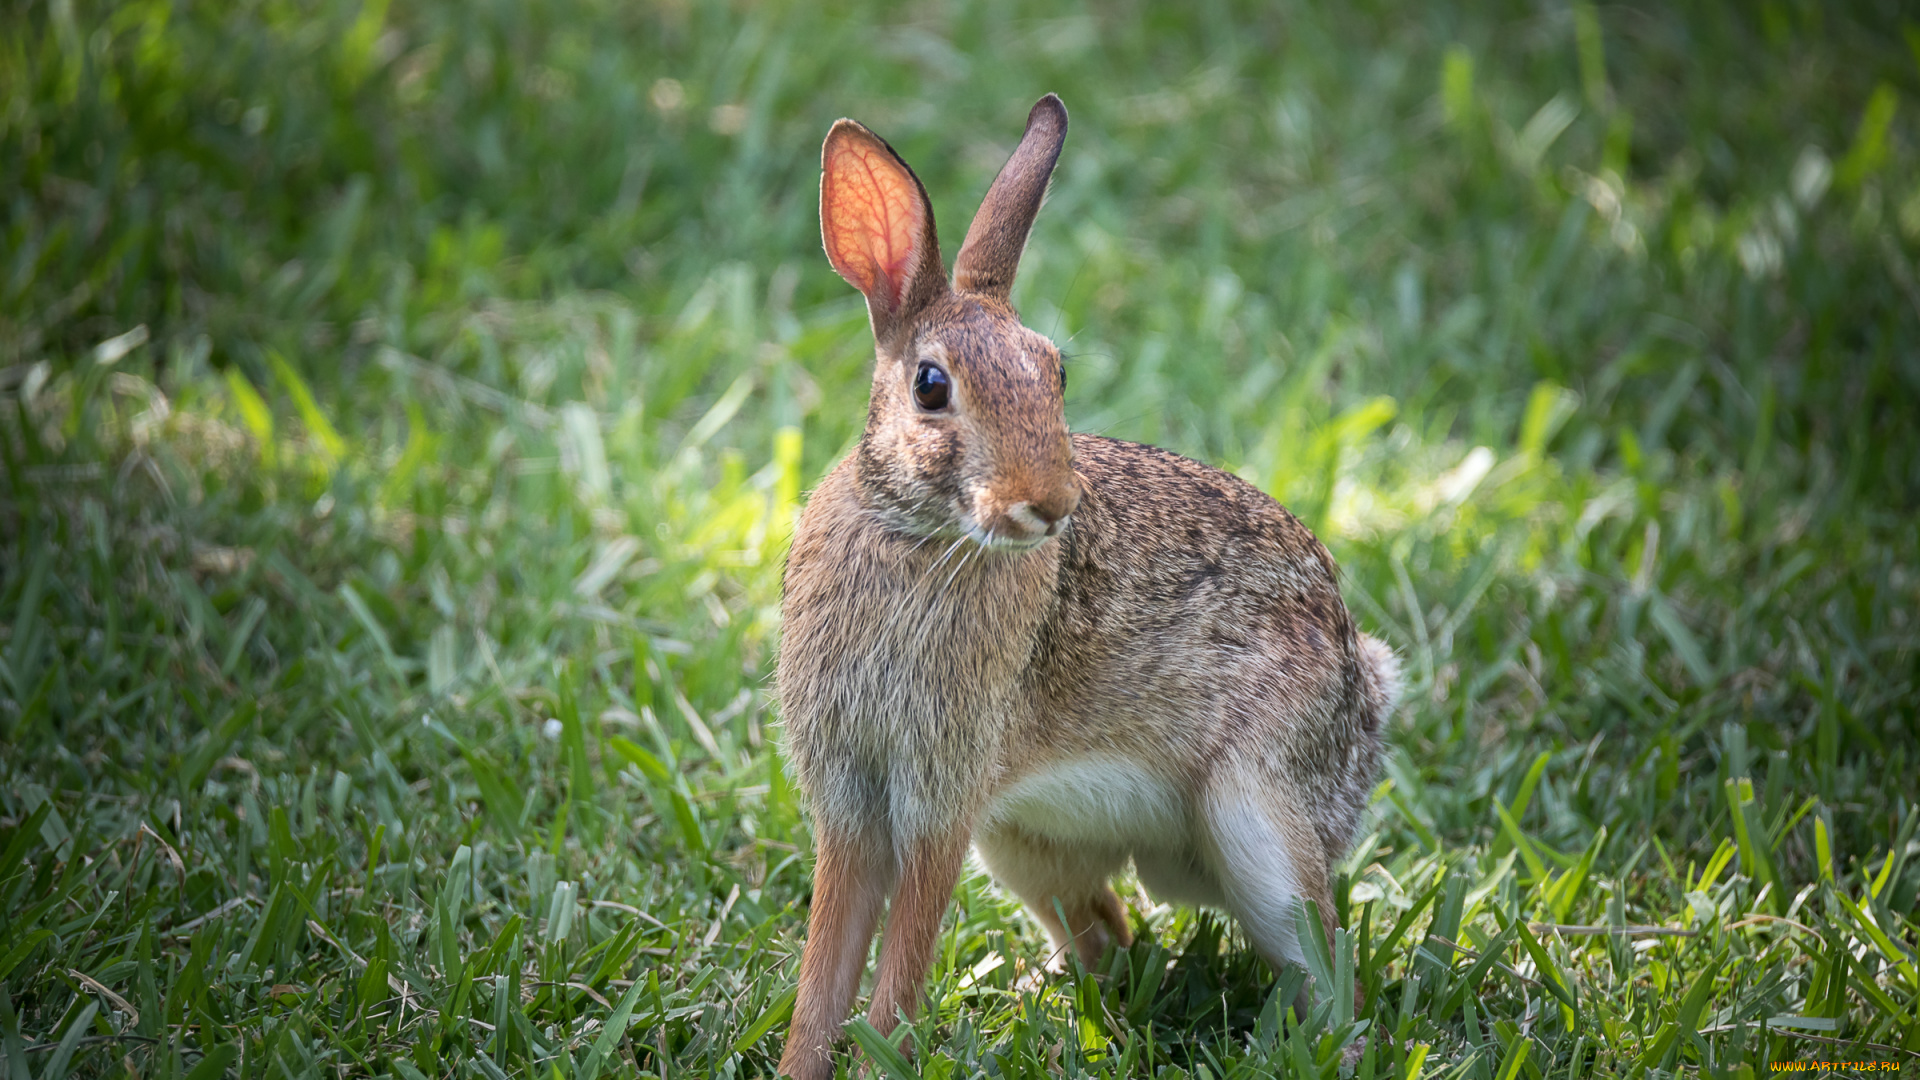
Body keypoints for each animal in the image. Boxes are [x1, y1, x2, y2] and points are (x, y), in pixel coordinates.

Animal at [771, 94, 1405, 1076]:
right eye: (930, 386)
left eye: (1055, 373)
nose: (1050, 503)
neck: (919, 537)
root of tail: (1361, 684)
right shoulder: (852, 797)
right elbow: (825, 972)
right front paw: (803, 1064)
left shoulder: (940, 799)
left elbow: (896, 964)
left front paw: (882, 1055)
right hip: (1024, 844)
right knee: (1109, 934)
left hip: (1256, 821)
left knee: (1326, 973)